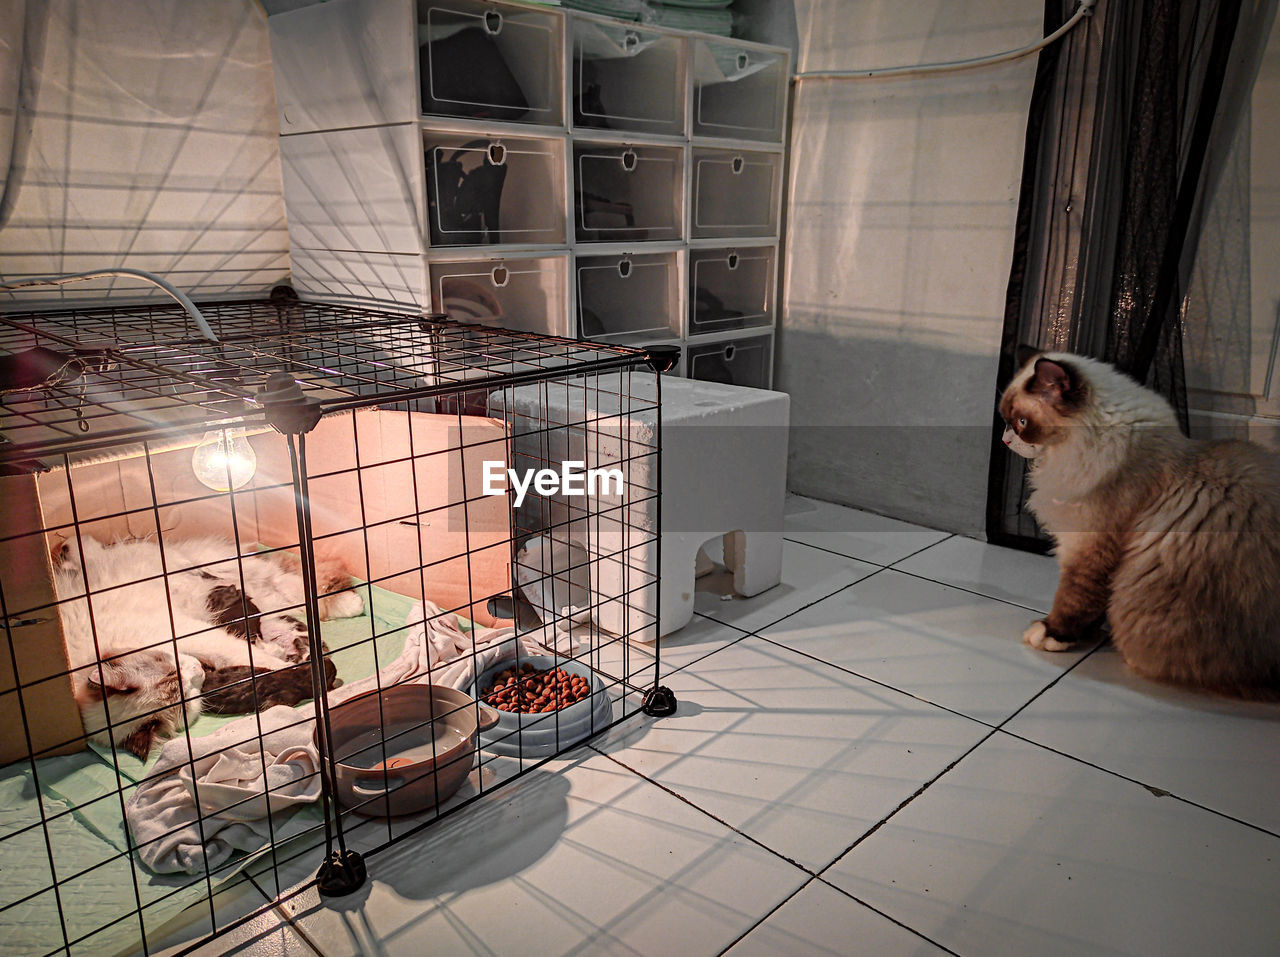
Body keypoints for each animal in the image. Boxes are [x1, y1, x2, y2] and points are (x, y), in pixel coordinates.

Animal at [52, 537, 363, 757]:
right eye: (184, 695)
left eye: (170, 671)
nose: (197, 671)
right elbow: (254, 656)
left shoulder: (188, 633)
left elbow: (242, 653)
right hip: (263, 596)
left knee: (304, 579)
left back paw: (352, 603)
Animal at [998, 348, 1280, 701]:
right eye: (1005, 419)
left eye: (1022, 423)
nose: (1005, 440)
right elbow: (1093, 602)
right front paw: (1087, 634)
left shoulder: (1089, 546)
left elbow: (1074, 597)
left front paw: (1054, 635)